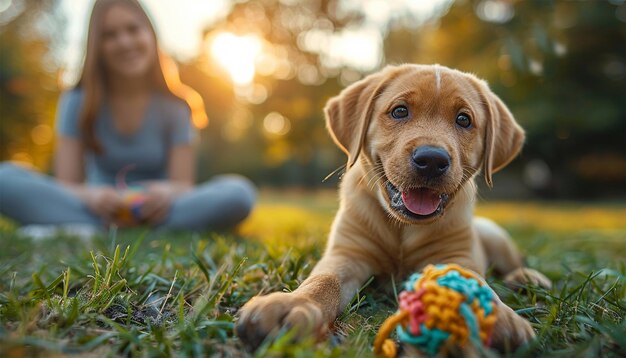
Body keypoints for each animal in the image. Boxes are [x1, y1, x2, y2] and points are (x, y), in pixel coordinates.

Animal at [236, 64, 548, 352]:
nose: (432, 160)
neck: (402, 229)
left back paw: (528, 277)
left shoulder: (457, 256)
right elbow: (324, 281)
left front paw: (499, 319)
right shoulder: (347, 252)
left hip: (495, 236)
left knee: (513, 262)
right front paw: (293, 304)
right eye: (399, 111)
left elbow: (475, 283)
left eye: (463, 119)